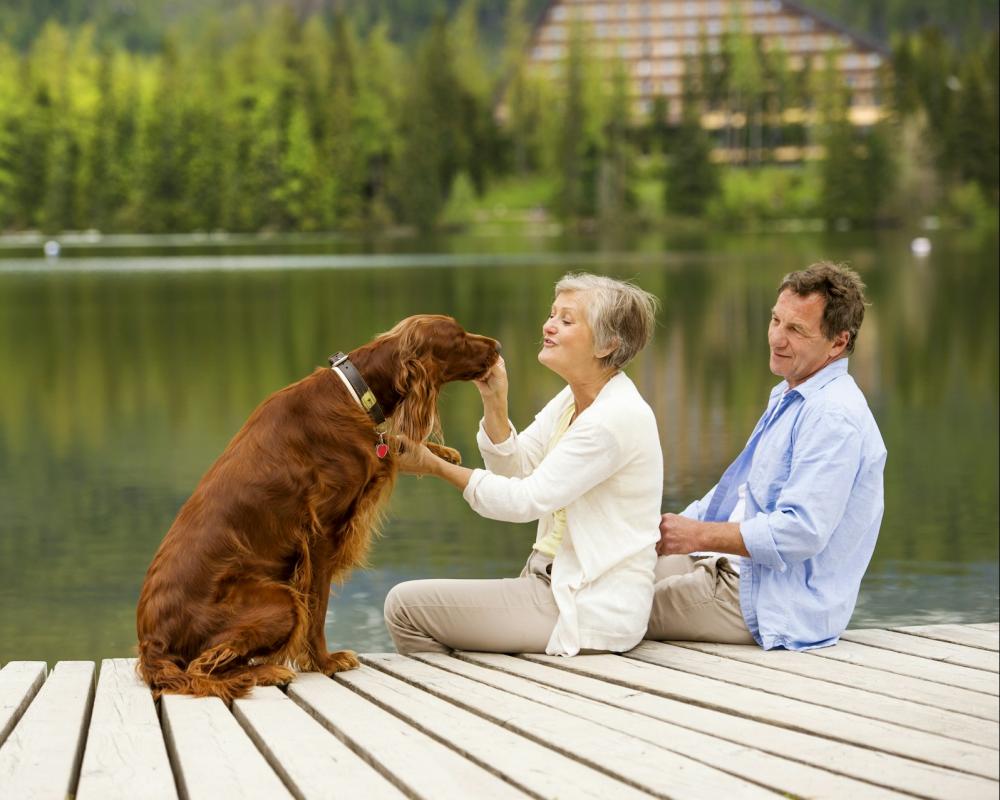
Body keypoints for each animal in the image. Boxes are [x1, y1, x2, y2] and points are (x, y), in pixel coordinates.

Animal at [135, 312, 500, 700]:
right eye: (458, 338)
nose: (497, 346)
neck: (356, 390)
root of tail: (151, 644)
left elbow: (394, 443)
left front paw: (442, 453)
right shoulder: (322, 531)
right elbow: (318, 607)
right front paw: (324, 661)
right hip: (279, 601)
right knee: (202, 666)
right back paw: (267, 672)